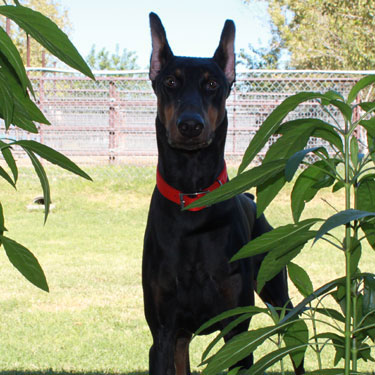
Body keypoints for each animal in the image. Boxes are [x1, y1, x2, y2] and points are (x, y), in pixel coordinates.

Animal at [142, 12, 304, 375]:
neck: (194, 194)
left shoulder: (237, 331)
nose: (190, 125)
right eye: (170, 82)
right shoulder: (163, 332)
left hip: (280, 297)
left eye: (212, 84)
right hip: (181, 337)